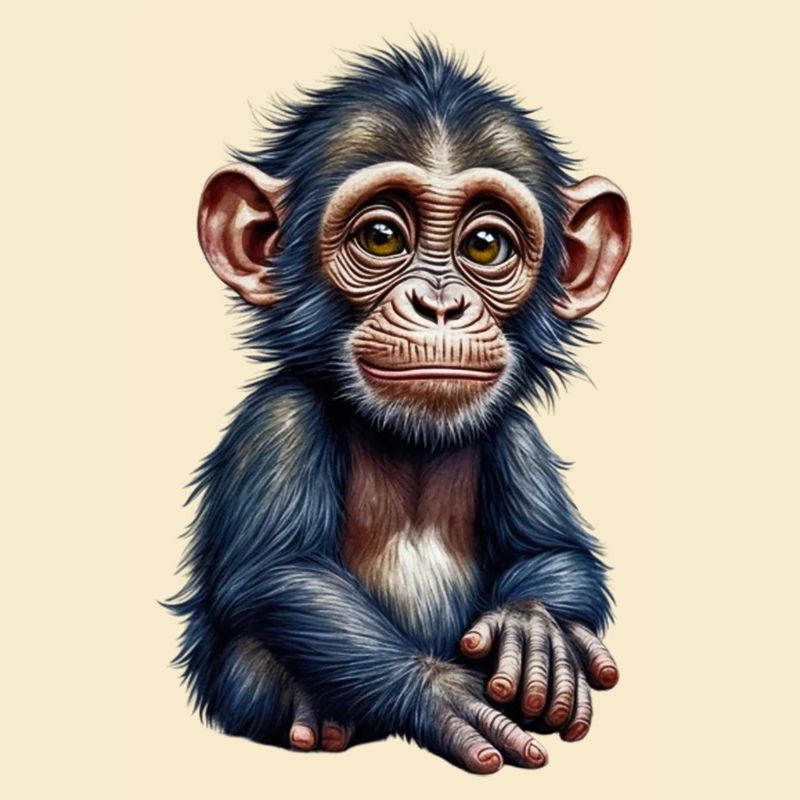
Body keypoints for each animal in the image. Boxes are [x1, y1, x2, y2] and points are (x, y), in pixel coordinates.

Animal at [166, 39, 631, 774]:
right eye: (382, 236)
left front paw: (534, 628)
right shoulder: (278, 422)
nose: (440, 305)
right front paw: (441, 691)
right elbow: (282, 571)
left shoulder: (518, 435)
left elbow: (555, 548)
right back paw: (315, 719)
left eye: (485, 246)